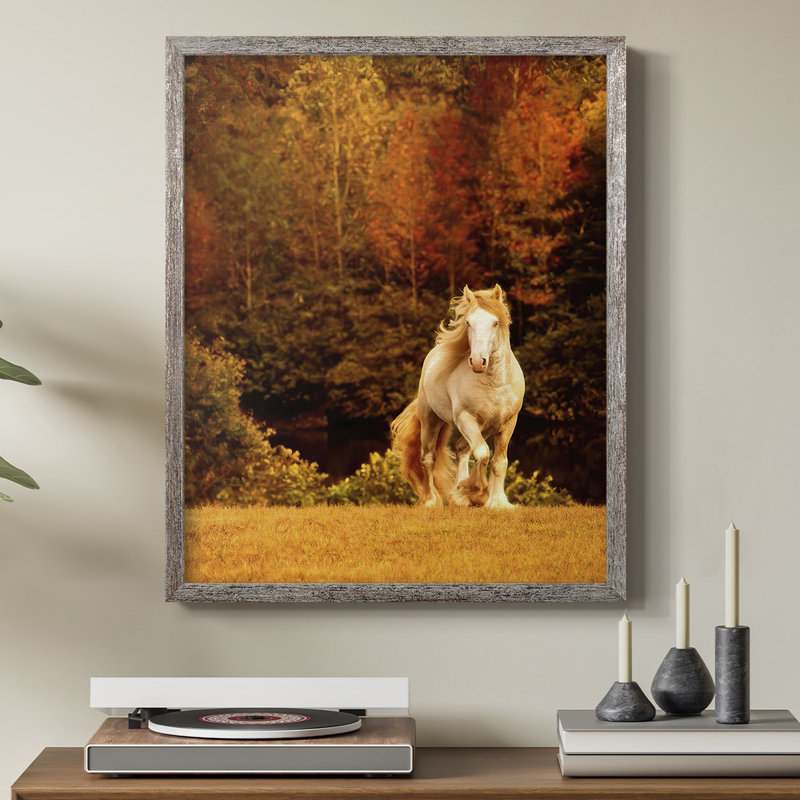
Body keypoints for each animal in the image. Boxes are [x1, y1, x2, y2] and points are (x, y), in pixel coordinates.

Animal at [391, 284, 525, 509]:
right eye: (468, 322)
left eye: (495, 323)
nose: (478, 361)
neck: (495, 383)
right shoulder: (465, 418)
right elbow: (483, 453)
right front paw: (477, 493)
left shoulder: (508, 422)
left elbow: (499, 461)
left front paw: (497, 502)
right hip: (431, 421)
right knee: (428, 458)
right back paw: (431, 500)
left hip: (485, 426)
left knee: (462, 448)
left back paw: (458, 497)